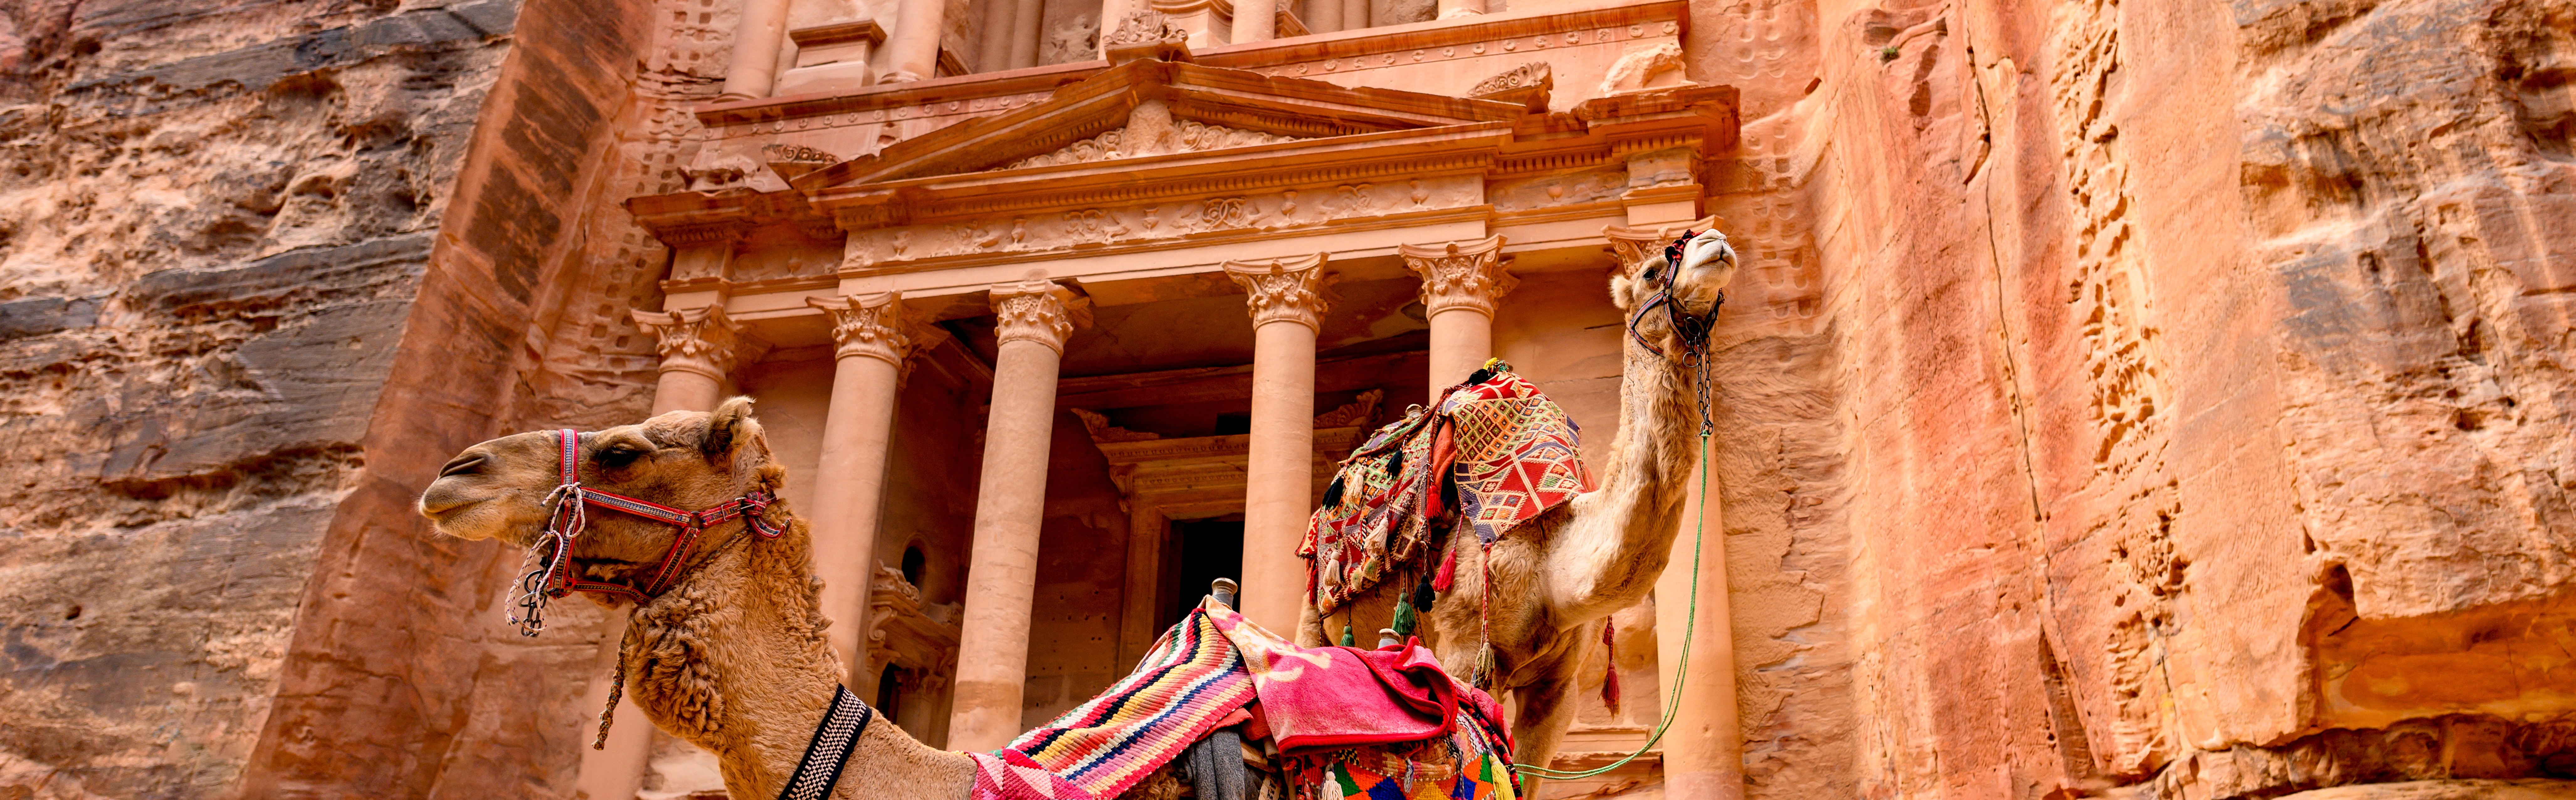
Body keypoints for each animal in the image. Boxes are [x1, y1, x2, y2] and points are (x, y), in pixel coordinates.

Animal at [1298, 228, 1741, 790]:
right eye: (1650, 271)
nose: (1714, 241)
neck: (1557, 562)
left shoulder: (1558, 686)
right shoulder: (1466, 649)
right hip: (1314, 611)